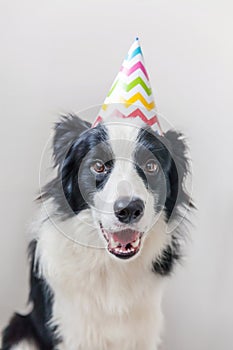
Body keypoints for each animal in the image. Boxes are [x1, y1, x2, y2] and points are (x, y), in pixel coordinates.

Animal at [1, 115, 191, 350]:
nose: (129, 209)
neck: (111, 266)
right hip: (20, 329)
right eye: (98, 166)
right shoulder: (73, 330)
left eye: (151, 166)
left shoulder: (142, 331)